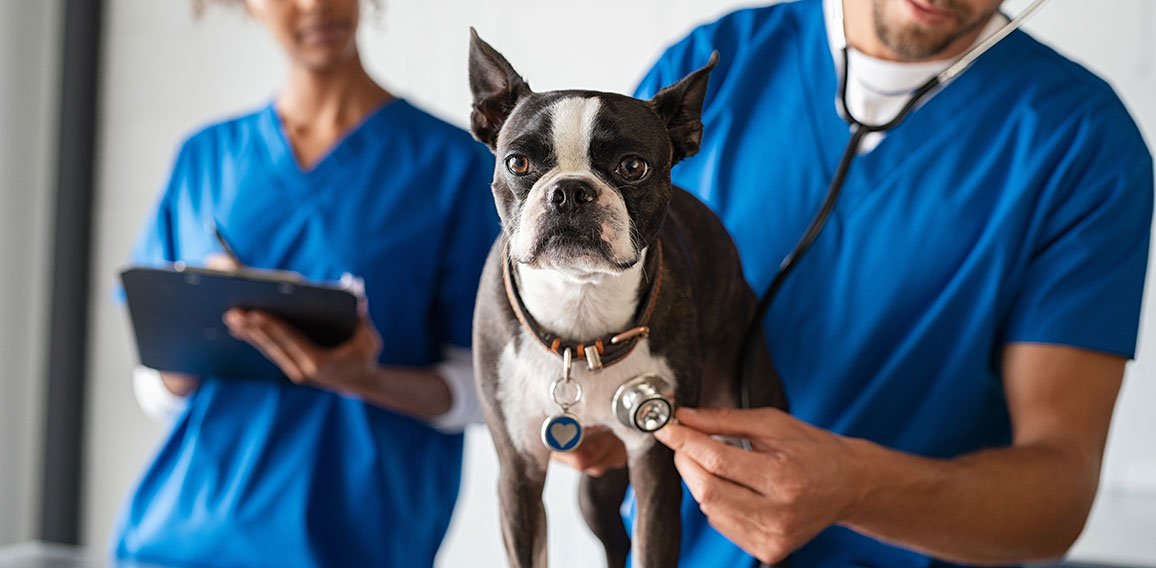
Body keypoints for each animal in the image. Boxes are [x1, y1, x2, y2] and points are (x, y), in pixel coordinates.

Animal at [467, 31, 786, 568]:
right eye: (517, 163)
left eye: (632, 167)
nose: (570, 191)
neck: (580, 306)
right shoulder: (518, 471)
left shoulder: (655, 468)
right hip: (592, 492)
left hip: (750, 410)